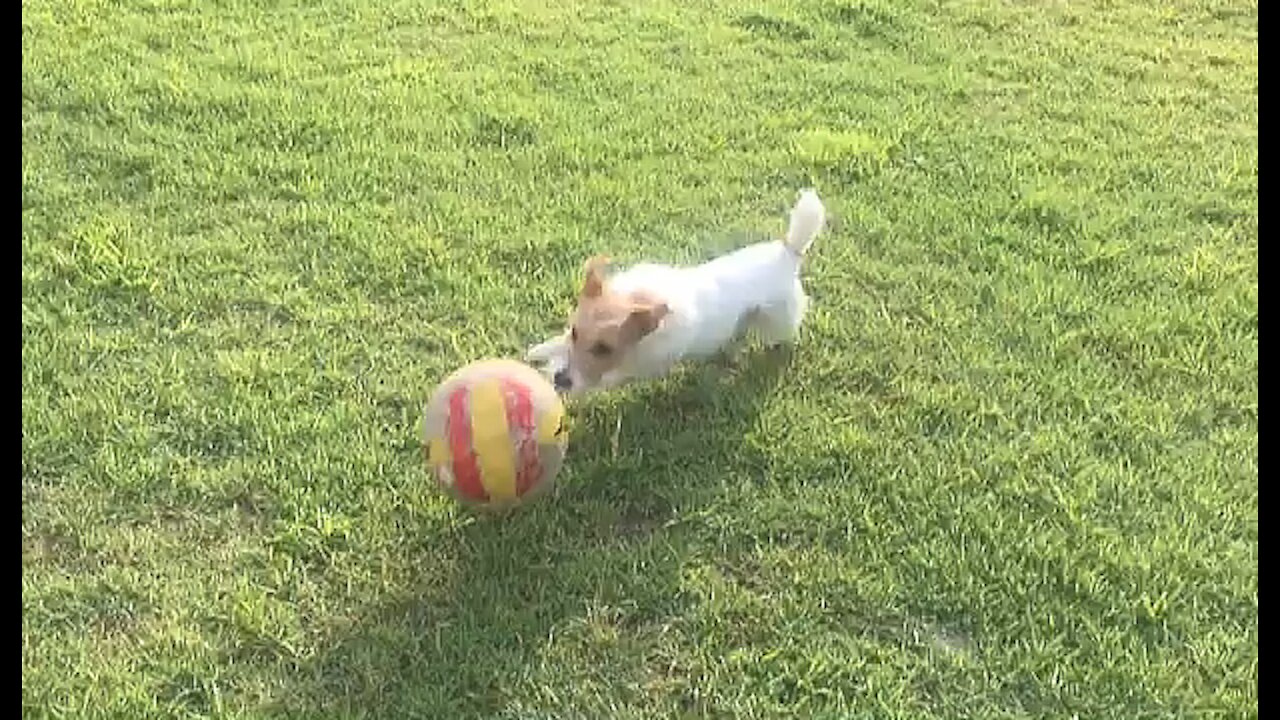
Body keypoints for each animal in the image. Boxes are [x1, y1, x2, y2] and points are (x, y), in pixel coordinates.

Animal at [524, 188, 824, 394]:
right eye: (576, 333)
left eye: (604, 349)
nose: (560, 379)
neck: (639, 298)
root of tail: (789, 252)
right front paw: (543, 350)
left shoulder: (641, 366)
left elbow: (607, 378)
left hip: (778, 319)